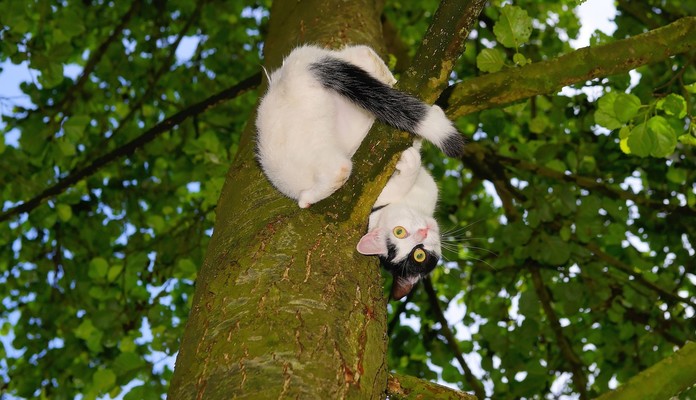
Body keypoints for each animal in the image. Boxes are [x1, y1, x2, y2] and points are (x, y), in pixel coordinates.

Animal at [256, 45, 462, 298]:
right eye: (399, 233)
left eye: (419, 255)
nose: (423, 232)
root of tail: (295, 73)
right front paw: (409, 162)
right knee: (340, 169)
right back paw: (308, 198)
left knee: (367, 56)